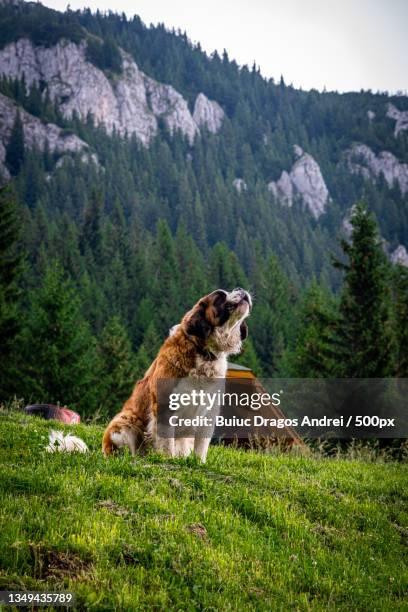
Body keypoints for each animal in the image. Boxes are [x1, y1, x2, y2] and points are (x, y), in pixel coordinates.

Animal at [102, 290, 252, 462]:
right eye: (220, 296)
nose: (241, 289)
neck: (203, 351)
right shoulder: (165, 406)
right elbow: (167, 442)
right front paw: (168, 459)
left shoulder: (209, 413)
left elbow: (202, 445)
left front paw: (199, 463)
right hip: (125, 420)